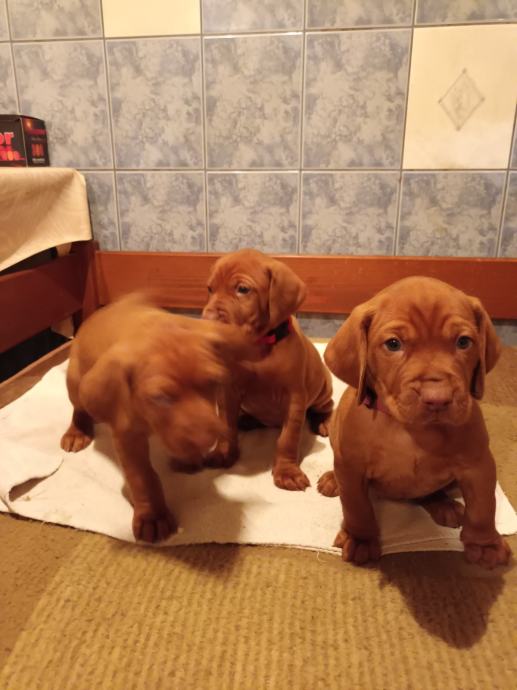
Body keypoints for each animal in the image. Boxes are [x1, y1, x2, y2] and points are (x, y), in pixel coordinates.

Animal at [61, 293, 257, 543]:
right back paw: (77, 431)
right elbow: (143, 477)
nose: (208, 442)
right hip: (76, 383)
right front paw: (153, 517)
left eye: (213, 382)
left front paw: (189, 458)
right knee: (79, 407)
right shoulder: (127, 435)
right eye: (160, 398)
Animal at [202, 249, 333, 491]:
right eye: (210, 289)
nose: (206, 322)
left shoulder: (294, 398)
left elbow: (287, 438)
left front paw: (286, 472)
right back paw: (247, 419)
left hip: (323, 386)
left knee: (326, 406)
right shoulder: (227, 391)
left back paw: (323, 421)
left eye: (243, 289)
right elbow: (226, 425)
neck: (257, 348)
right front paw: (223, 453)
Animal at [318, 276, 511, 569]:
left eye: (464, 342)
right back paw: (332, 479)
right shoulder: (352, 467)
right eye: (393, 344)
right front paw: (360, 539)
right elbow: (356, 507)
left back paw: (443, 504)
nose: (438, 398)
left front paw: (484, 544)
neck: (410, 431)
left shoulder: (478, 464)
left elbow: (483, 507)